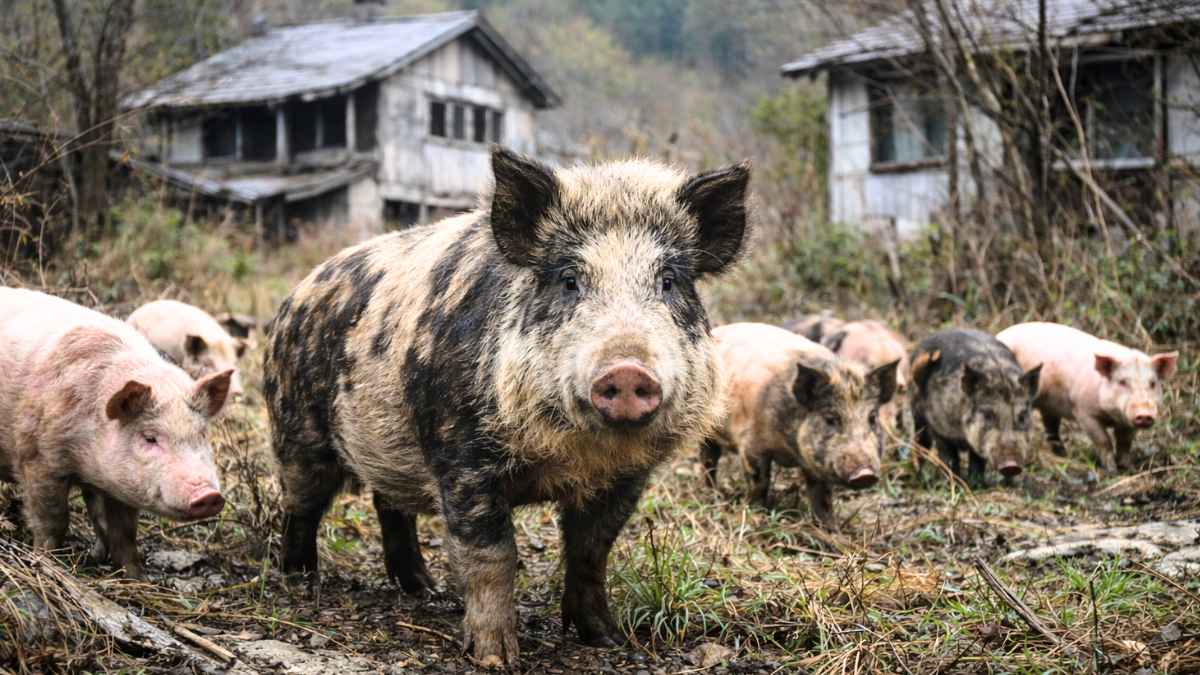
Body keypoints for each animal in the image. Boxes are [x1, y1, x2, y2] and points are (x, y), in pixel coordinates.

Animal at [0, 288, 231, 578]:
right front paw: (48, 562)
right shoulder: (37, 459)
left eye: (201, 435)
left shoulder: (118, 486)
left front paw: (136, 578)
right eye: (149, 437)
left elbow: (123, 533)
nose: (209, 495)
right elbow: (53, 521)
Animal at [262, 148, 750, 667]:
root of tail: (295, 296)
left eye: (669, 281)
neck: (571, 457)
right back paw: (301, 580)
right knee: (302, 504)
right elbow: (493, 555)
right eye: (569, 279)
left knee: (389, 504)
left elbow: (592, 551)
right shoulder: (461, 456)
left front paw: (606, 638)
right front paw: (496, 658)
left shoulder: (627, 477)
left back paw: (424, 589)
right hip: (297, 430)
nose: (626, 370)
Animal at [700, 322, 898, 527]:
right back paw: (711, 493)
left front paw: (830, 530)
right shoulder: (750, 445)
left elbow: (822, 497)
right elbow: (760, 482)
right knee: (708, 459)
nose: (865, 474)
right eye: (830, 418)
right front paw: (756, 514)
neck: (789, 452)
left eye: (872, 418)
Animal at [909, 329, 1042, 487]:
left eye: (1022, 416)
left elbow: (977, 461)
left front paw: (977, 485)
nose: (1011, 466)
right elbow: (949, 458)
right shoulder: (939, 428)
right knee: (920, 440)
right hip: (916, 411)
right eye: (988, 415)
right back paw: (921, 476)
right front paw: (954, 484)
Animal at [996, 322, 1179, 471]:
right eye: (1122, 382)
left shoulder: (1127, 422)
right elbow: (1103, 441)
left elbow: (1125, 443)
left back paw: (1063, 455)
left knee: (1051, 428)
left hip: (1049, 404)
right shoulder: (1083, 411)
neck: (1112, 416)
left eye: (1153, 383)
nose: (1144, 413)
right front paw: (1111, 470)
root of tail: (999, 334)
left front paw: (1128, 468)